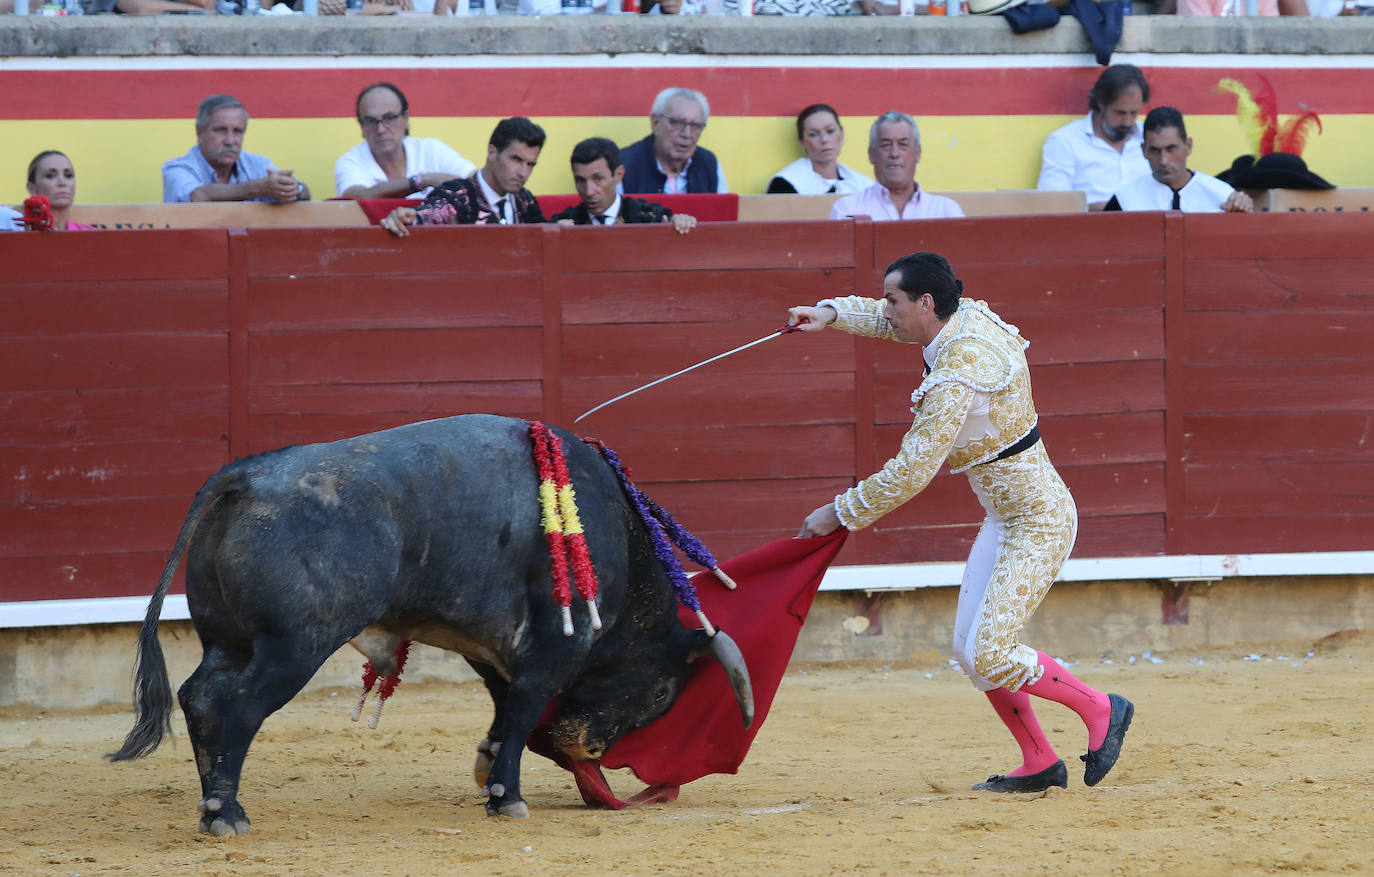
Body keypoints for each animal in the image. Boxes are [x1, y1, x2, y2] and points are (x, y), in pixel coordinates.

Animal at [107, 415, 752, 835]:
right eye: (664, 694)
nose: (583, 747)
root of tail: (247, 476)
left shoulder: (490, 647)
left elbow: (502, 710)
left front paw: (489, 772)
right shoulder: (553, 651)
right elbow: (522, 712)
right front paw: (507, 798)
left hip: (228, 640)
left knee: (200, 698)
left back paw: (211, 804)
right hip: (294, 647)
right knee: (238, 708)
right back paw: (228, 816)